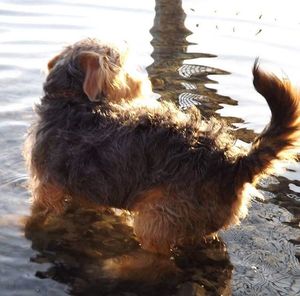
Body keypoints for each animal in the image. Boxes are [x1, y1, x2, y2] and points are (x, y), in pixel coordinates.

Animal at [24, 37, 300, 254]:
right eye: (124, 67)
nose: (144, 83)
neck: (71, 101)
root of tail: (233, 162)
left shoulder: (47, 189)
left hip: (159, 216)